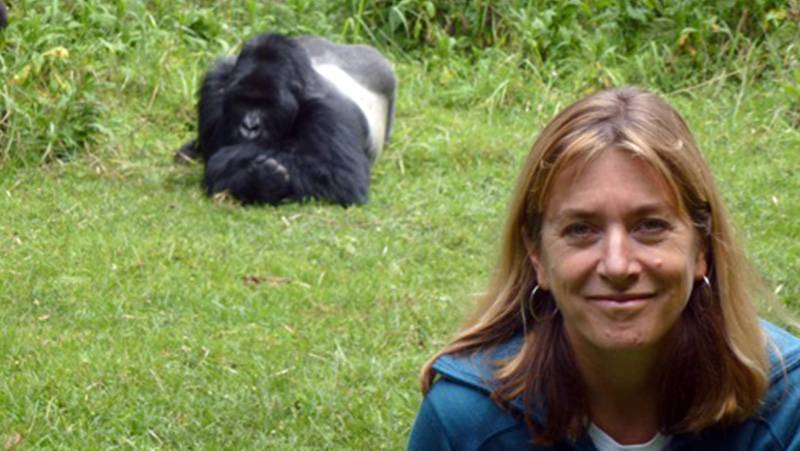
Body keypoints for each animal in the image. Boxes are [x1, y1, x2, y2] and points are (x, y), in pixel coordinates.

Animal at [177, 33, 396, 207]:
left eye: (267, 104)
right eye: (242, 101)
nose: (250, 127)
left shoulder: (329, 109)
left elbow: (342, 178)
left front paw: (251, 176)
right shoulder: (216, 82)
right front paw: (257, 181)